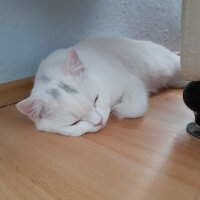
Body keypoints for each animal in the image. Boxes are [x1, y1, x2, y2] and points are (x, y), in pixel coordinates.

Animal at [16, 37, 185, 136]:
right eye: (74, 123)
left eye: (96, 99)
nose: (98, 121)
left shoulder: (129, 80)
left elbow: (137, 107)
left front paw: (118, 110)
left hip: (162, 64)